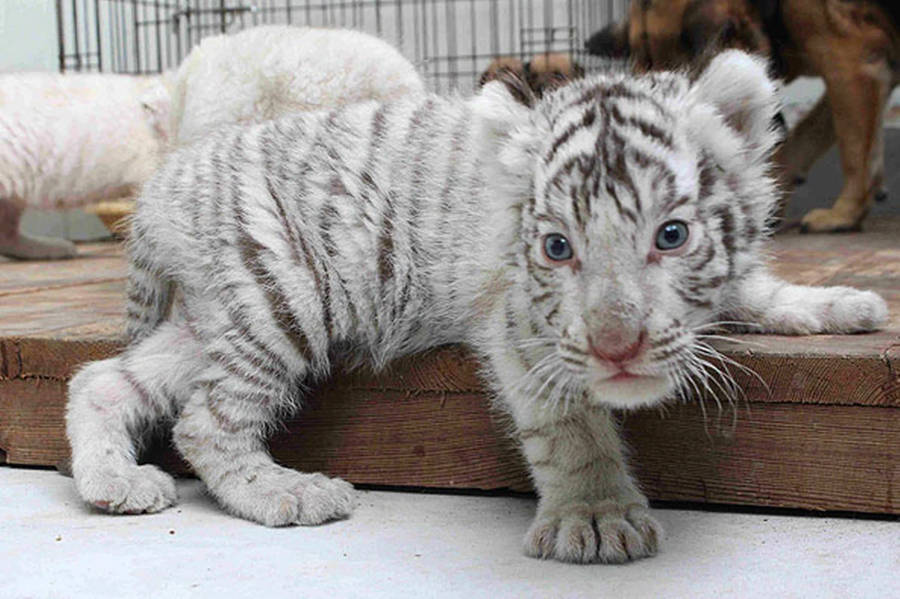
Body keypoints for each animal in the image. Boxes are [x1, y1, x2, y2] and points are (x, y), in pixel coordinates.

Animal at [66, 50, 887, 564]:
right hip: (280, 298)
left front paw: (843, 304)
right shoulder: (520, 324)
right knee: (204, 422)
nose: (616, 347)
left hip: (220, 313)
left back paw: (116, 485)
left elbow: (755, 285)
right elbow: (569, 426)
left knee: (102, 380)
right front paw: (596, 516)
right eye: (556, 247)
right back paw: (288, 492)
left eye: (672, 235)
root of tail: (157, 194)